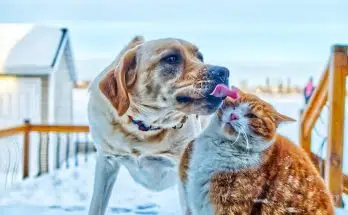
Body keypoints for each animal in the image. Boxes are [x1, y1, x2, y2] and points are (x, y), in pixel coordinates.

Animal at [86, 36, 228, 214]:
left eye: (200, 57)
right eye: (171, 58)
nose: (224, 72)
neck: (145, 129)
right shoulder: (106, 162)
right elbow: (96, 205)